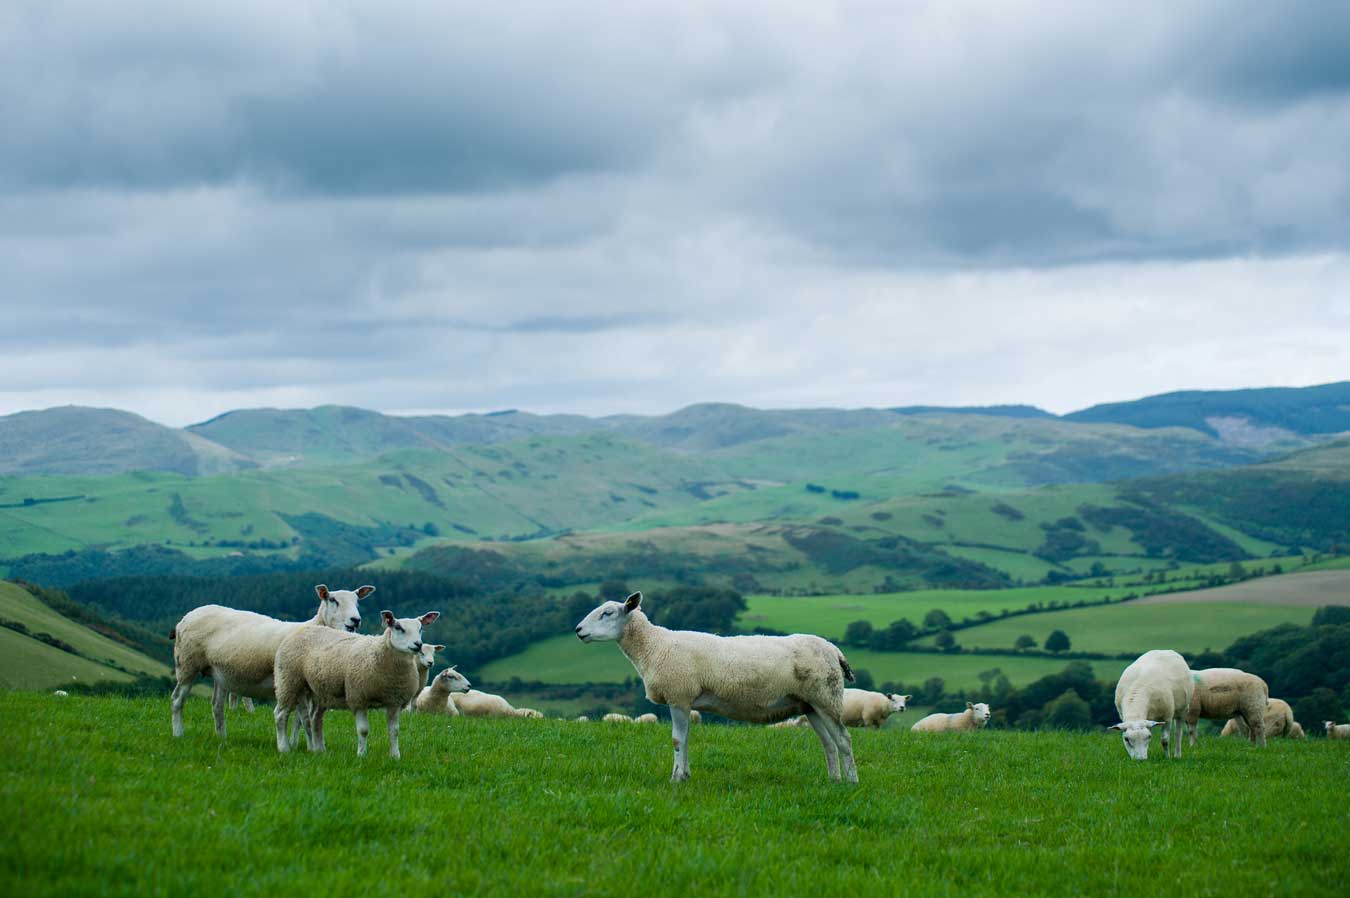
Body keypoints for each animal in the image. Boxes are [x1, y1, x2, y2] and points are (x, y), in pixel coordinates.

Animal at [170, 586, 369, 740]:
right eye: (333, 599)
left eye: (357, 601)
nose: (355, 620)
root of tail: (188, 616)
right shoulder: (293, 683)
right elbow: (301, 719)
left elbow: (301, 720)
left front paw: (298, 743)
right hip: (187, 664)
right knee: (177, 698)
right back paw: (178, 733)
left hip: (218, 673)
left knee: (217, 706)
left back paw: (222, 737)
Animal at [271, 604, 440, 761]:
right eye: (398, 627)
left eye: (420, 628)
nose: (418, 644)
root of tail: (303, 629)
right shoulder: (358, 698)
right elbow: (363, 730)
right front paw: (361, 755)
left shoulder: (394, 702)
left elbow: (394, 731)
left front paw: (395, 756)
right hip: (288, 680)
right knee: (281, 714)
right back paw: (284, 748)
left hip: (320, 691)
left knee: (315, 719)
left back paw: (319, 750)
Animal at [575, 591, 858, 783]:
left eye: (608, 613)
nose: (578, 630)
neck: (654, 647)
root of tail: (835, 650)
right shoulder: (685, 701)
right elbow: (686, 739)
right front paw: (685, 775)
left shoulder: (679, 695)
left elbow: (677, 739)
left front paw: (675, 779)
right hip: (810, 704)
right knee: (828, 743)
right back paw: (833, 780)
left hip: (826, 697)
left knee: (843, 739)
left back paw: (851, 783)